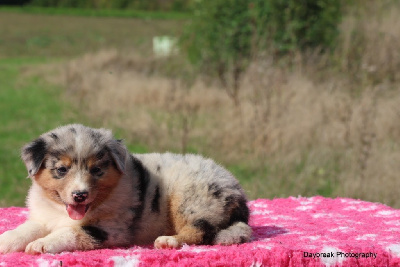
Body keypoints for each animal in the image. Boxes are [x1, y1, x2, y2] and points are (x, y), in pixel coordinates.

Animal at [0, 124, 252, 254]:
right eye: (61, 170)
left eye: (96, 170)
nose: (80, 195)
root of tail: (237, 189)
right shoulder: (43, 218)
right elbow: (24, 229)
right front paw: (6, 241)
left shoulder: (111, 228)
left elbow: (69, 232)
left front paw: (41, 244)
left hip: (191, 200)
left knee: (200, 232)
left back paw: (169, 241)